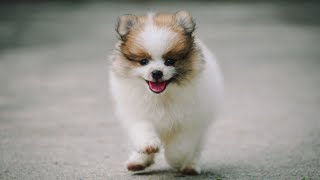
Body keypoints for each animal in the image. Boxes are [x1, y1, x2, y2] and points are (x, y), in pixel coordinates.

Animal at [109, 10, 222, 175]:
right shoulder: (138, 112)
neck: (161, 97)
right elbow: (143, 129)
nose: (157, 72)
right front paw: (149, 145)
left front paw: (175, 160)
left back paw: (190, 166)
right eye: (143, 61)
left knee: (196, 149)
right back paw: (137, 161)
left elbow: (180, 145)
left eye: (169, 61)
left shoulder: (191, 120)